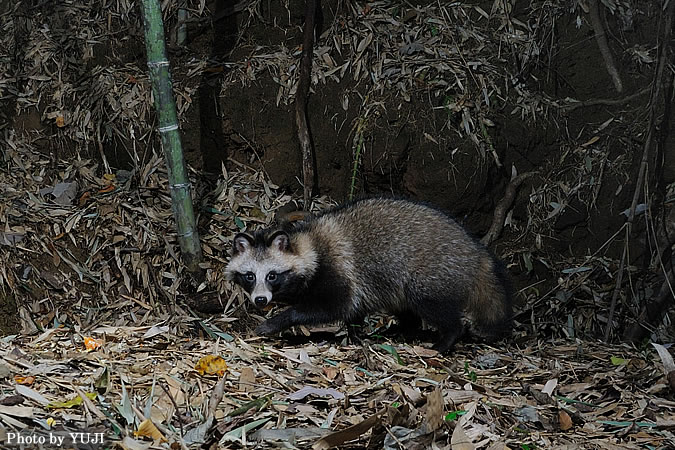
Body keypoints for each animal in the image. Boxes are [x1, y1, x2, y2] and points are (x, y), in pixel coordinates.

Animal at [226, 199, 512, 354]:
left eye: (272, 276)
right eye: (250, 276)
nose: (260, 300)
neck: (308, 243)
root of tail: (477, 252)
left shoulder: (337, 267)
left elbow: (336, 305)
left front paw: (280, 320)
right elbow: (353, 311)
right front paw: (354, 335)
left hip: (433, 272)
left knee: (429, 303)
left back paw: (446, 337)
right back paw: (404, 328)